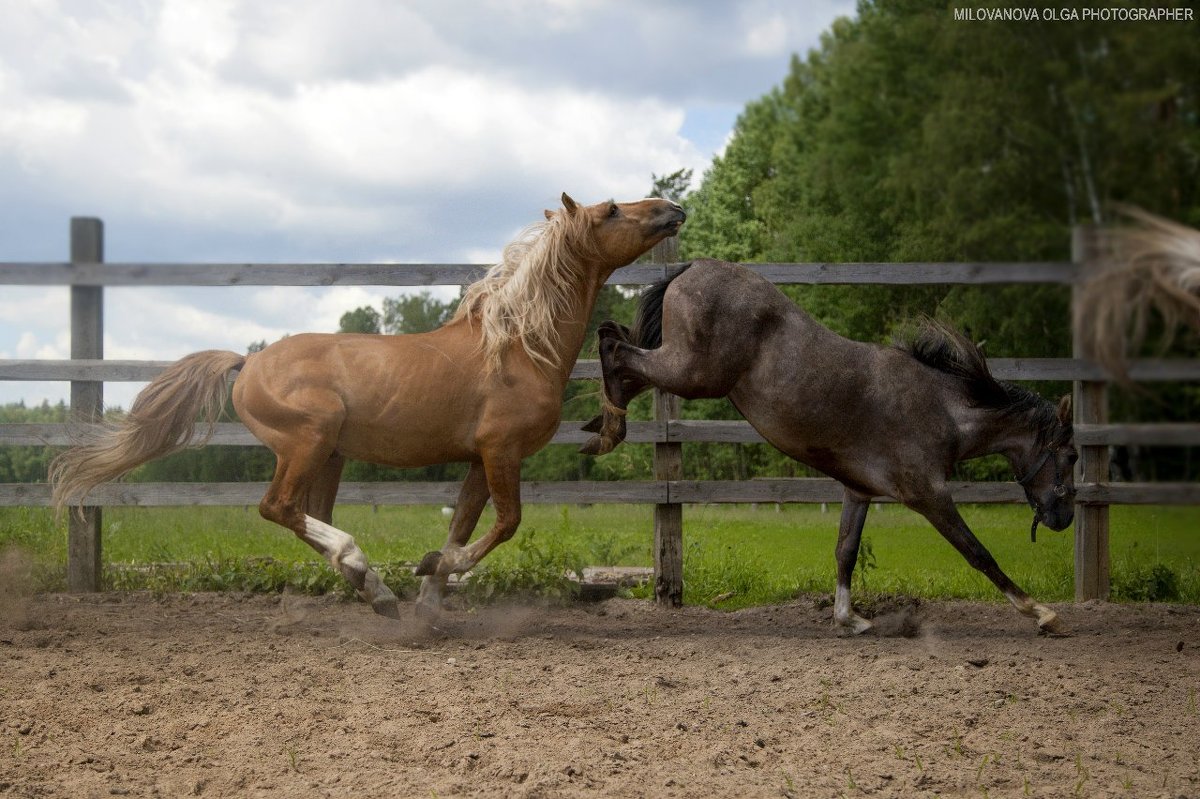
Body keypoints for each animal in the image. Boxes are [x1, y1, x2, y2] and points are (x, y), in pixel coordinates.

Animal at [49, 193, 686, 614]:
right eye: (611, 210)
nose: (672, 206)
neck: (518, 345)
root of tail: (246, 363)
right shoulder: (501, 451)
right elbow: (505, 525)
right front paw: (429, 570)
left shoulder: (479, 460)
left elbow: (461, 527)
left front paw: (428, 600)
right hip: (307, 442)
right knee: (279, 508)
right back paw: (366, 574)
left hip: (329, 456)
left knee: (308, 517)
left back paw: (374, 589)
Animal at [580, 261, 1080, 633]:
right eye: (1072, 457)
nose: (1064, 517)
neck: (944, 409)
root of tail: (692, 267)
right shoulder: (929, 495)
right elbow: (978, 553)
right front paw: (1042, 613)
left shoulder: (858, 491)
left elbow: (846, 550)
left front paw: (849, 618)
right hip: (691, 373)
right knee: (614, 347)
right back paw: (609, 429)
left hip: (683, 370)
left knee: (618, 351)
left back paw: (603, 425)